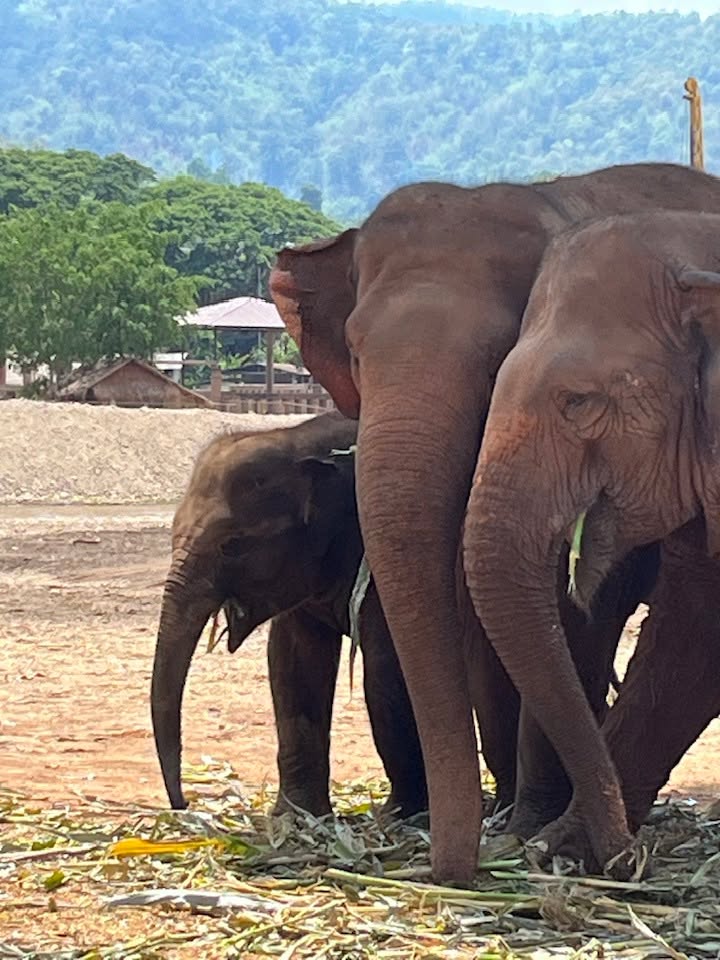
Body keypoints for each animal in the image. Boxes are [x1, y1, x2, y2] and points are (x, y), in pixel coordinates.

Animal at [151, 411, 428, 820]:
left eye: (232, 545)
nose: (183, 804)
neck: (297, 440)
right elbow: (292, 666)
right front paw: (295, 817)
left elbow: (386, 670)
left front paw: (398, 816)